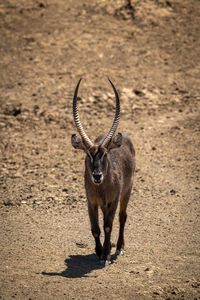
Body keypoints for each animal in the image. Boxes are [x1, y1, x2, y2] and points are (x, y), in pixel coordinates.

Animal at [71, 78, 135, 264]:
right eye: (87, 153)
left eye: (105, 153)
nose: (97, 176)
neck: (101, 188)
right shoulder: (91, 201)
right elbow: (95, 228)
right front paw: (99, 252)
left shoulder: (112, 201)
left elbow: (107, 226)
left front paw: (106, 255)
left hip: (126, 192)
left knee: (122, 216)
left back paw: (119, 247)